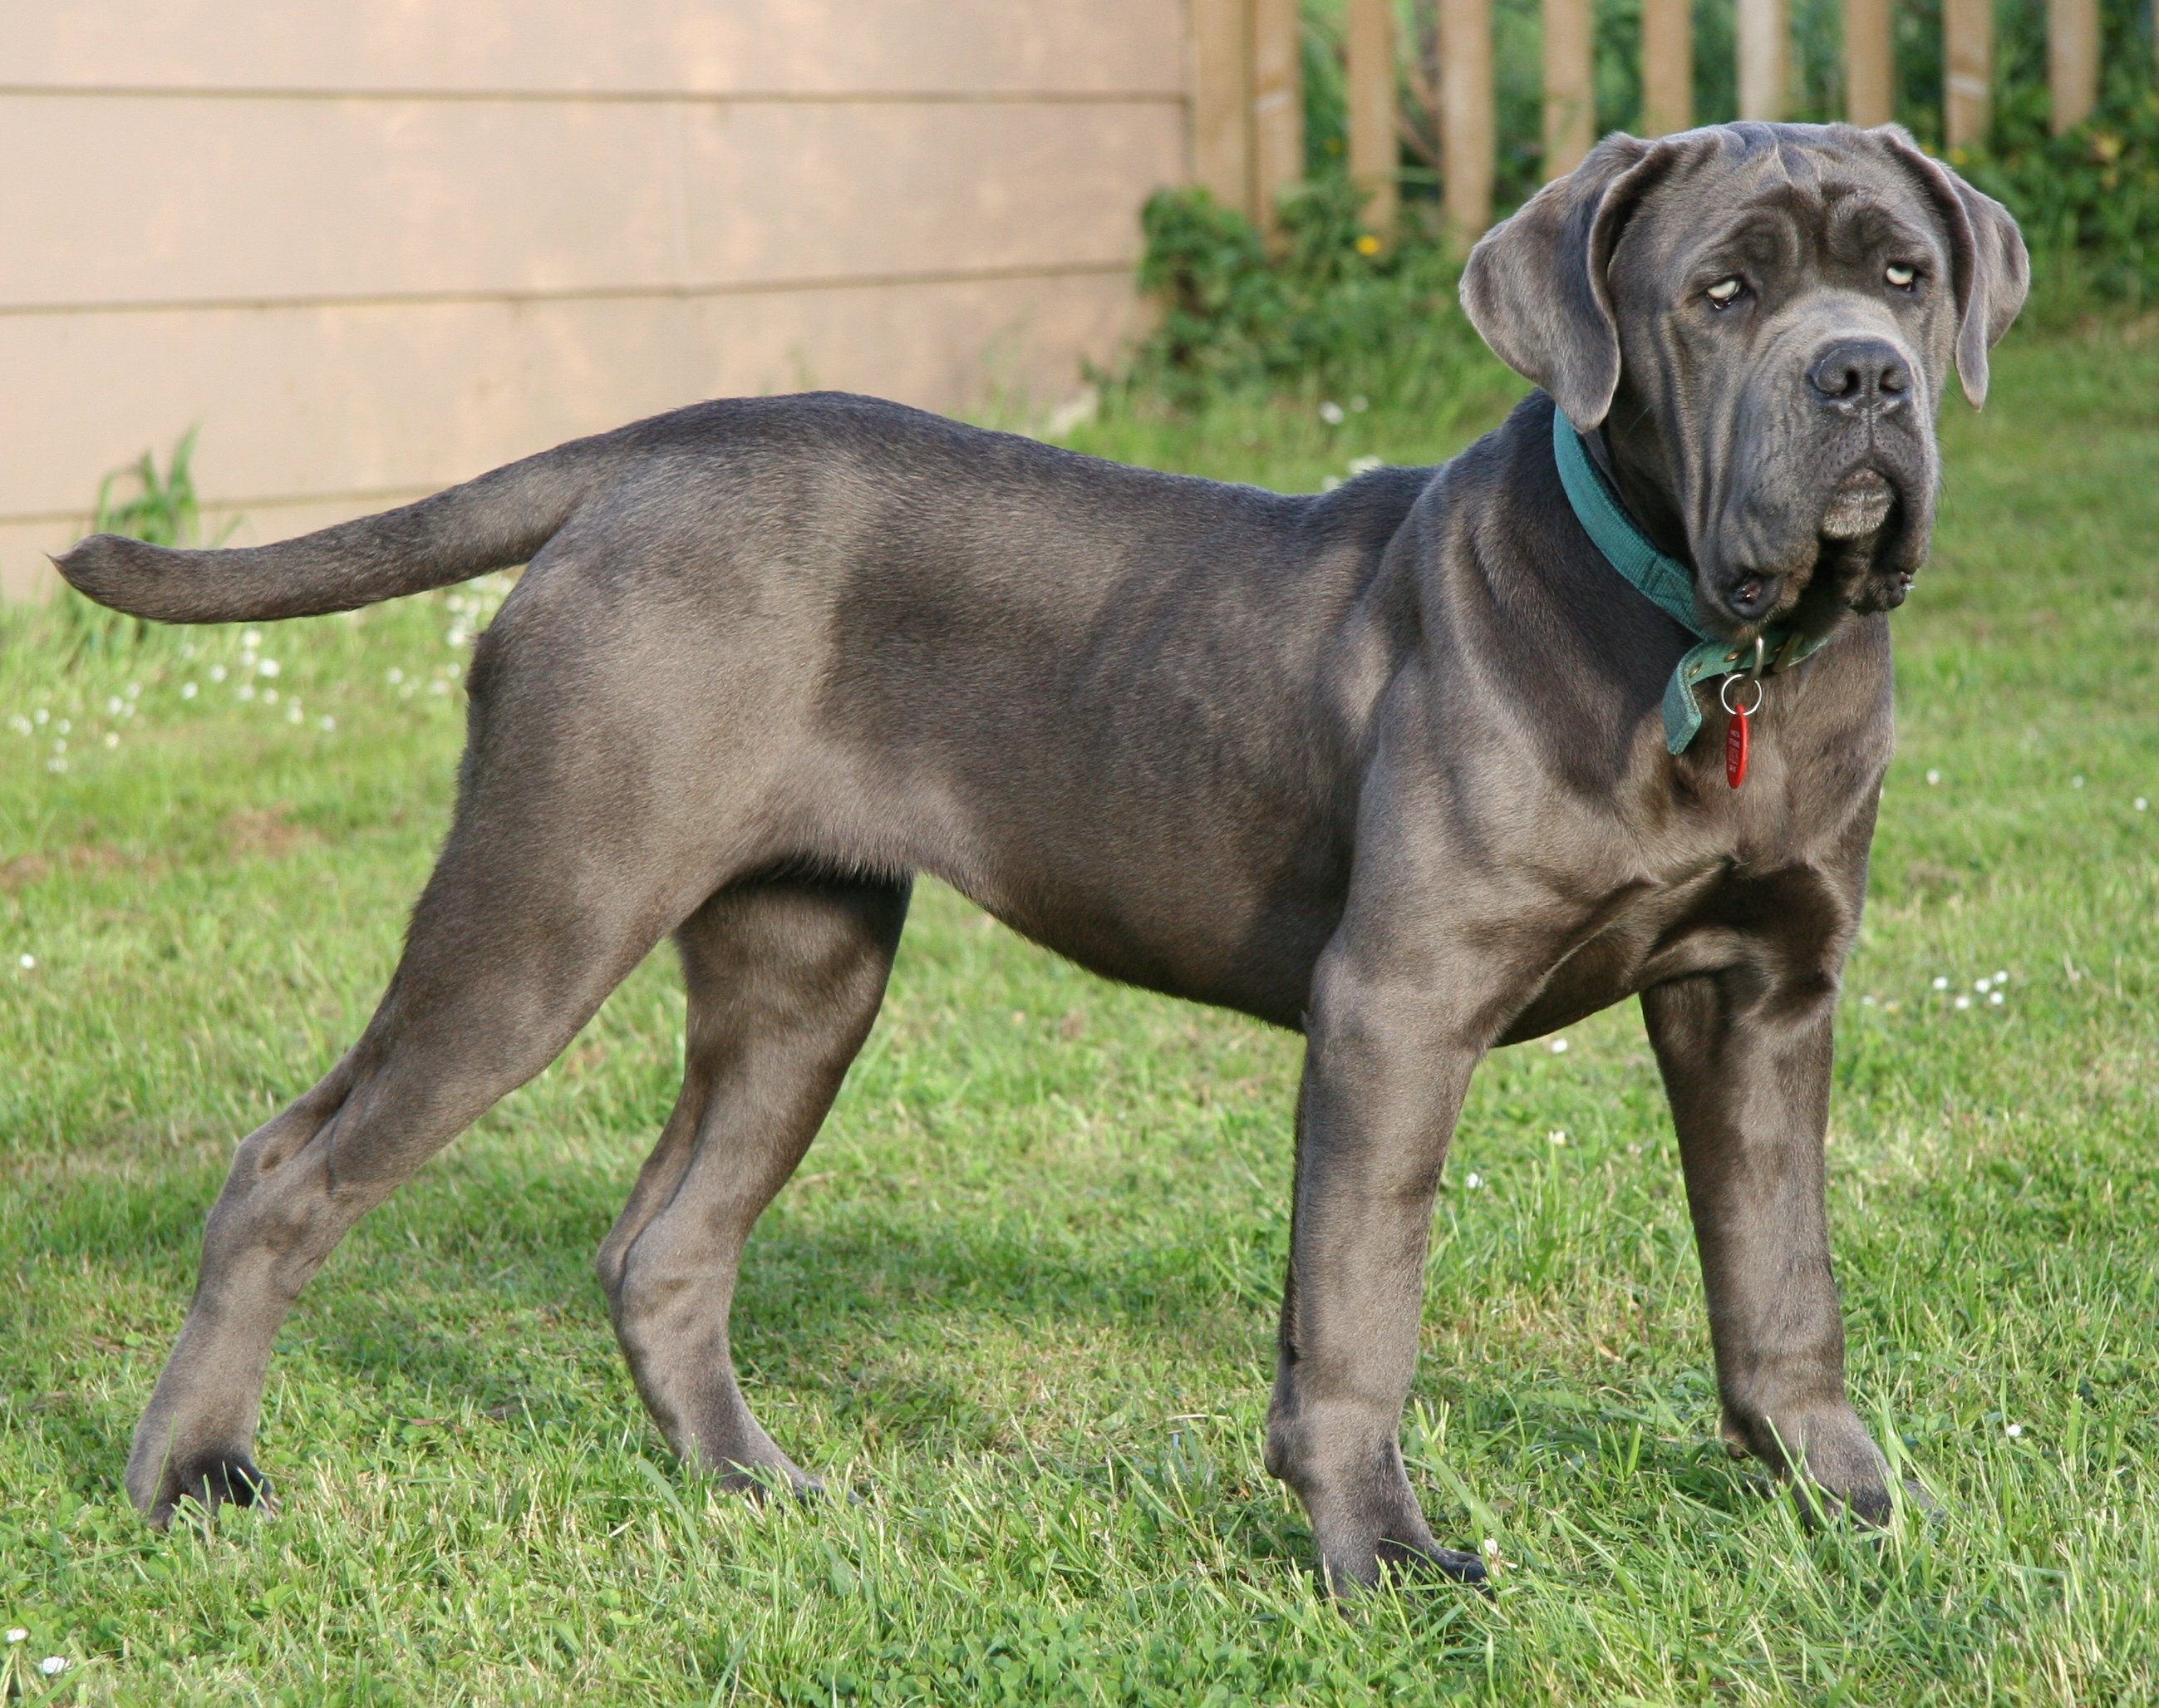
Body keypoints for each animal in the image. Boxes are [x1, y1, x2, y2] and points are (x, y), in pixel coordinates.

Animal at [62, 123, 2020, 1589]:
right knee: (286, 1169)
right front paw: (1379, 1558)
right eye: (1719, 292)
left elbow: (1780, 1278)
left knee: (665, 1241)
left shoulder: (1763, 995)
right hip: (546, 902)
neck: (1709, 643)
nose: (1862, 376)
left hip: (806, 968)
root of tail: (647, 454)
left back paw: (753, 1486)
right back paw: (184, 1478)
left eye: (1903, 277)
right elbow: (1358, 1311)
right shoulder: (1397, 1007)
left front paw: (1852, 1505)